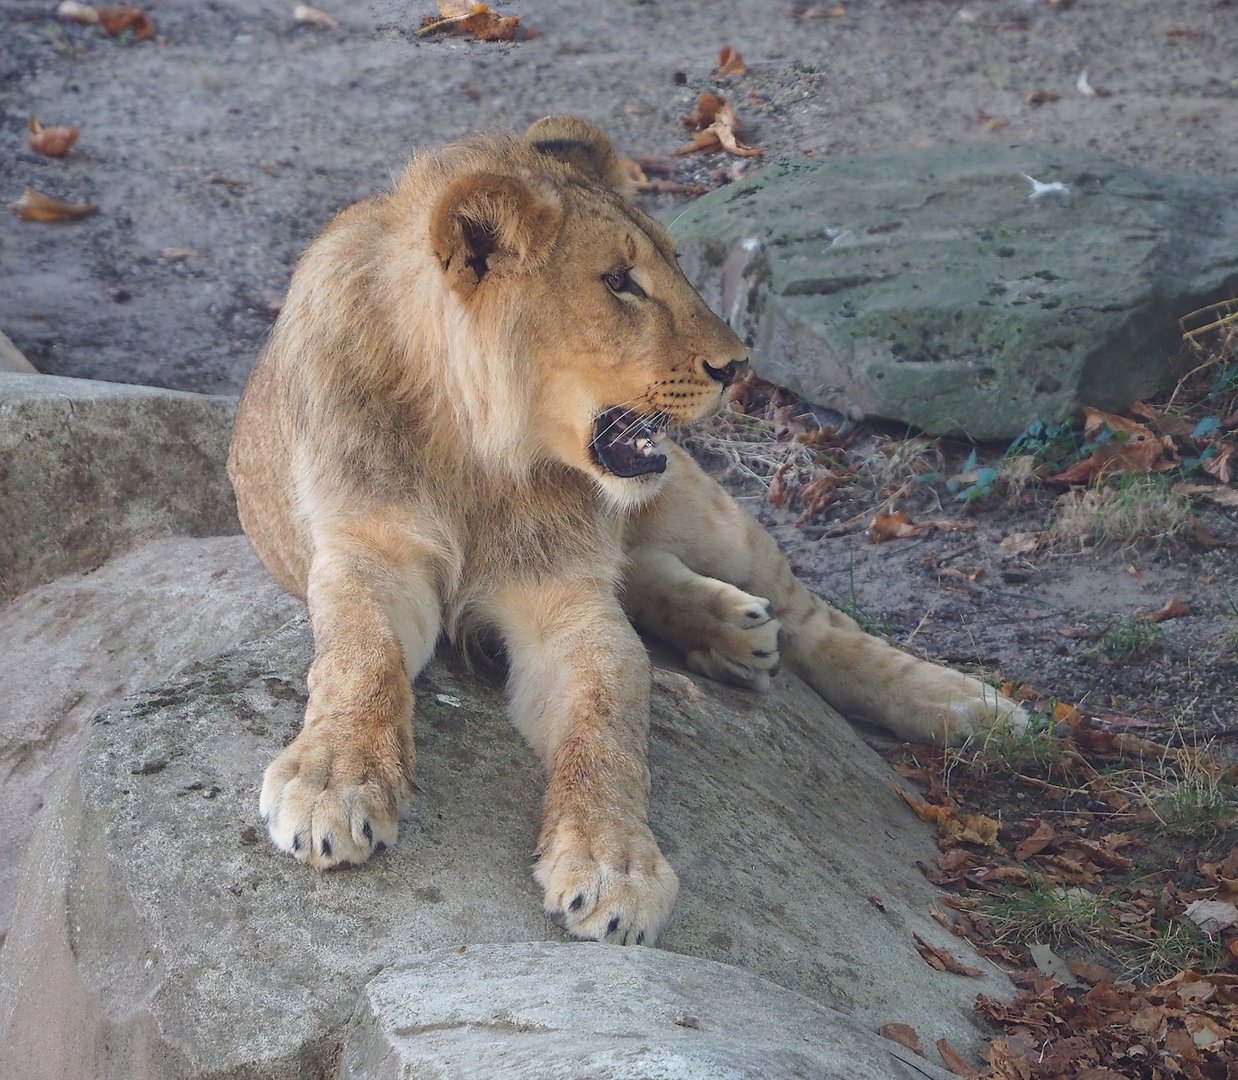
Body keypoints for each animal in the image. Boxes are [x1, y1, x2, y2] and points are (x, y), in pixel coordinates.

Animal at [227, 116, 1026, 946]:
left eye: (674, 263)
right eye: (619, 282)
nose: (738, 366)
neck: (481, 451)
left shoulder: (570, 600)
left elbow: (607, 725)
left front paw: (614, 865)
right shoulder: (369, 557)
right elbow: (359, 660)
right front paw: (332, 783)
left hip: (706, 509)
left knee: (818, 622)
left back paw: (973, 708)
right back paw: (734, 632)